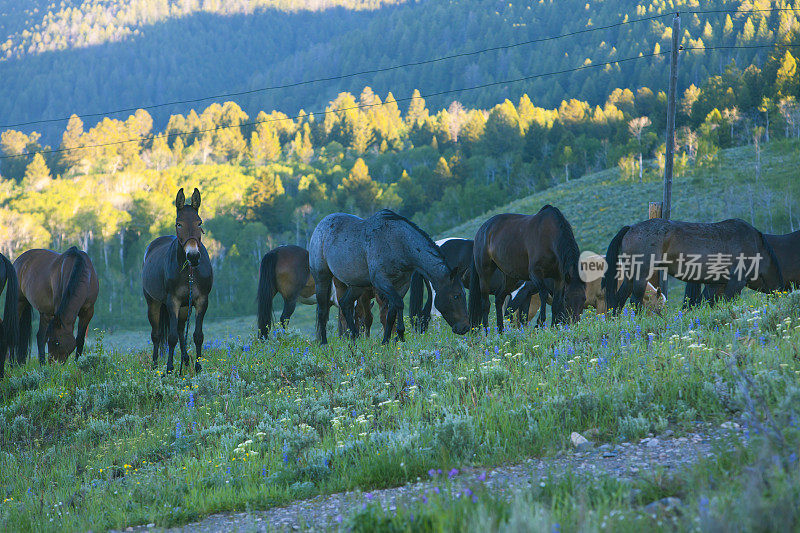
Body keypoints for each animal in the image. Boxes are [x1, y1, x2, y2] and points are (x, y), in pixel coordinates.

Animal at [142, 187, 212, 374]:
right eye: (178, 224)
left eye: (199, 223)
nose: (193, 256)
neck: (189, 272)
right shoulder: (172, 301)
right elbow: (171, 337)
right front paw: (169, 369)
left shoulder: (201, 301)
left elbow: (197, 335)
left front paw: (198, 367)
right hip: (154, 303)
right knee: (157, 335)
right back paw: (155, 365)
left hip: (185, 306)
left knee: (181, 330)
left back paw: (185, 361)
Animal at [306, 210, 468, 342]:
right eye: (456, 296)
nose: (465, 327)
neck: (399, 243)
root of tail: (321, 224)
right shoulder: (382, 282)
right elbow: (399, 305)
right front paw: (400, 335)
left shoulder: (402, 285)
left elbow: (391, 313)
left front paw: (387, 341)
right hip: (322, 279)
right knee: (322, 311)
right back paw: (324, 343)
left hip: (357, 286)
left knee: (345, 304)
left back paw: (355, 338)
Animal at [604, 218, 784, 314]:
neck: (756, 246)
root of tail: (631, 228)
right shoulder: (736, 283)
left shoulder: (716, 284)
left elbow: (706, 303)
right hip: (641, 275)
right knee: (635, 300)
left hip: (630, 276)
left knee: (619, 300)